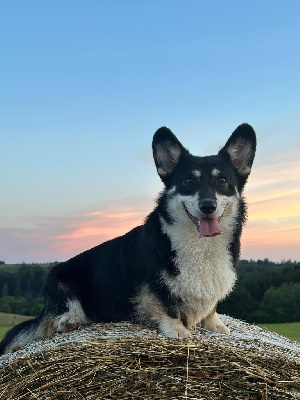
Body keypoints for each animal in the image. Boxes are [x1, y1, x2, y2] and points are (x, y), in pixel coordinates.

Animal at [1, 122, 256, 354]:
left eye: (222, 181)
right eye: (189, 181)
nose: (208, 207)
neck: (201, 245)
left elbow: (211, 308)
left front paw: (216, 325)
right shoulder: (149, 283)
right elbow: (166, 306)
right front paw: (178, 330)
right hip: (61, 281)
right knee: (55, 321)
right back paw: (70, 322)